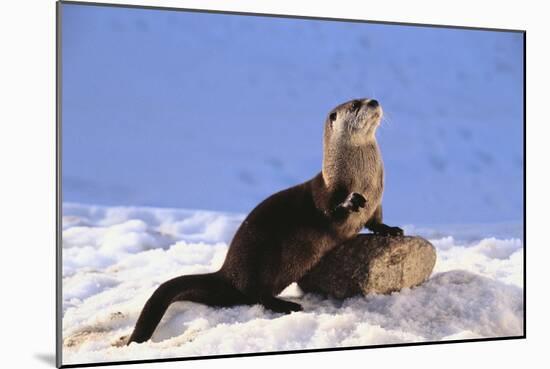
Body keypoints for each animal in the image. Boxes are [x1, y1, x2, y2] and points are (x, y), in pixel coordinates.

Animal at [127, 97, 404, 342]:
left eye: (367, 98)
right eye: (356, 104)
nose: (374, 101)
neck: (363, 179)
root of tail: (227, 272)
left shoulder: (377, 202)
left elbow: (376, 221)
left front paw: (391, 229)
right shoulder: (328, 194)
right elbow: (330, 211)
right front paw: (350, 202)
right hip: (264, 258)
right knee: (256, 294)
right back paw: (286, 305)